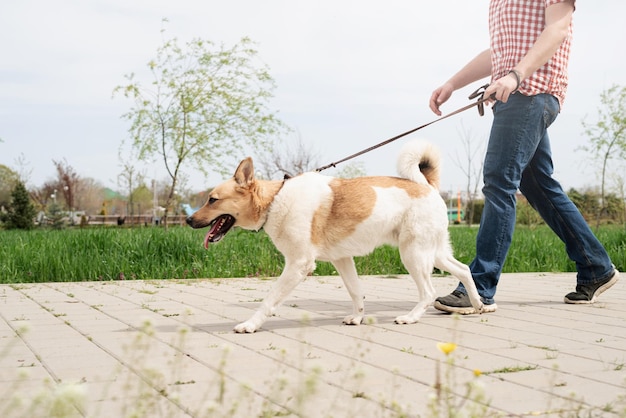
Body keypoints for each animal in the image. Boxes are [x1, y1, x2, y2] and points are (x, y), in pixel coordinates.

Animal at [185, 140, 482, 334]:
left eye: (212, 199)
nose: (188, 220)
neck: (274, 200)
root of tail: (426, 186)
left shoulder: (298, 266)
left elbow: (269, 300)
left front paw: (250, 324)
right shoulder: (343, 260)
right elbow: (356, 292)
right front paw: (357, 318)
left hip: (414, 255)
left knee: (428, 292)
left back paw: (411, 317)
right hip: (434, 253)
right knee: (464, 269)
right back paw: (477, 304)